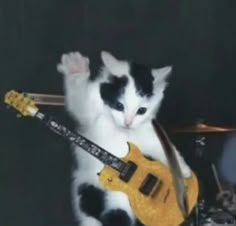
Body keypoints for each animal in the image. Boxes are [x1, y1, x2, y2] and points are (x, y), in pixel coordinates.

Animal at [57, 51, 192, 226]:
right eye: (119, 106)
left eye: (141, 111)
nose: (128, 123)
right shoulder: (89, 113)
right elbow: (80, 101)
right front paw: (75, 67)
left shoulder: (148, 134)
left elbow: (163, 148)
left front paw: (183, 170)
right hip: (85, 187)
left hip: (120, 199)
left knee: (119, 214)